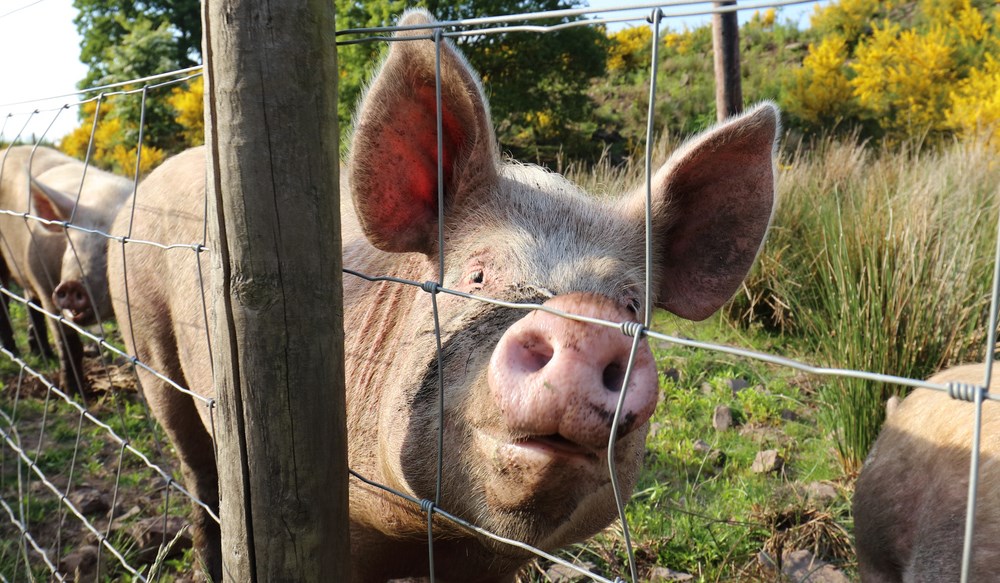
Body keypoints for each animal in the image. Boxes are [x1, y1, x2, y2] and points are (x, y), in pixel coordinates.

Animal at [0, 145, 133, 397]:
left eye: (110, 247)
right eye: (71, 241)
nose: (71, 285)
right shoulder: (47, 286)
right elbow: (69, 344)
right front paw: (74, 394)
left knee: (30, 303)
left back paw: (42, 355)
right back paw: (14, 351)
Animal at [107, 9, 778, 581]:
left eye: (633, 305)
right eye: (475, 276)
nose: (586, 320)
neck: (426, 538)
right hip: (149, 345)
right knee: (197, 472)